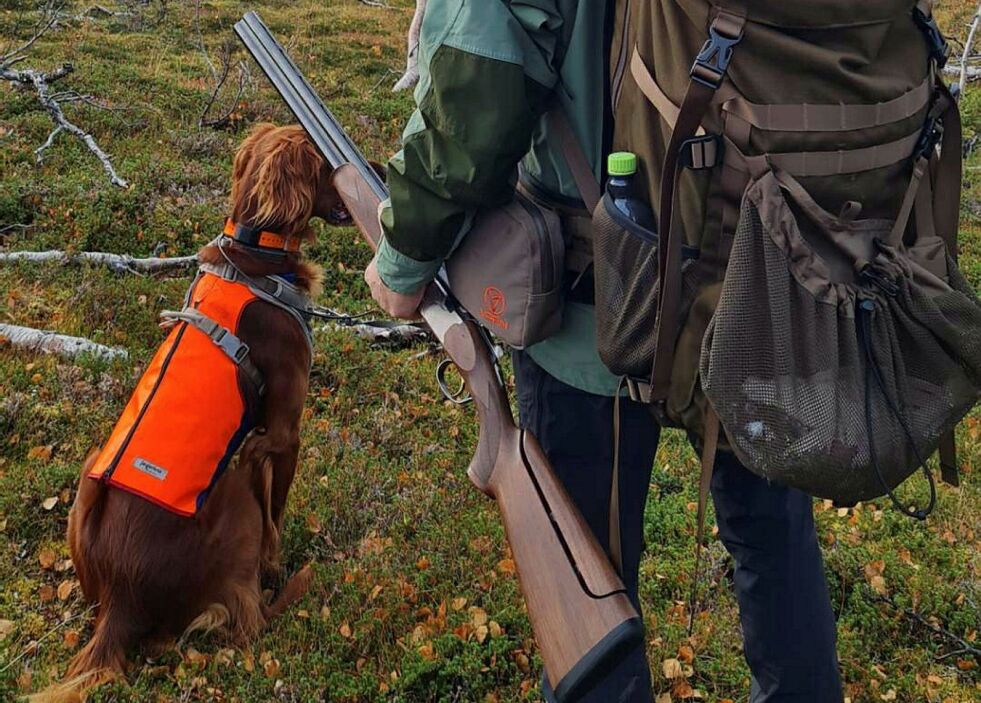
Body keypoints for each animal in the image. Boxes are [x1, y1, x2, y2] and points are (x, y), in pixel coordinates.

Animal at [34, 124, 344, 700]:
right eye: (323, 161)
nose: (378, 169)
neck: (255, 253)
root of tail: (120, 602)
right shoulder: (281, 433)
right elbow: (278, 509)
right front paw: (278, 563)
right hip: (233, 492)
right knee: (249, 620)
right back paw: (294, 586)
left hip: (88, 479)